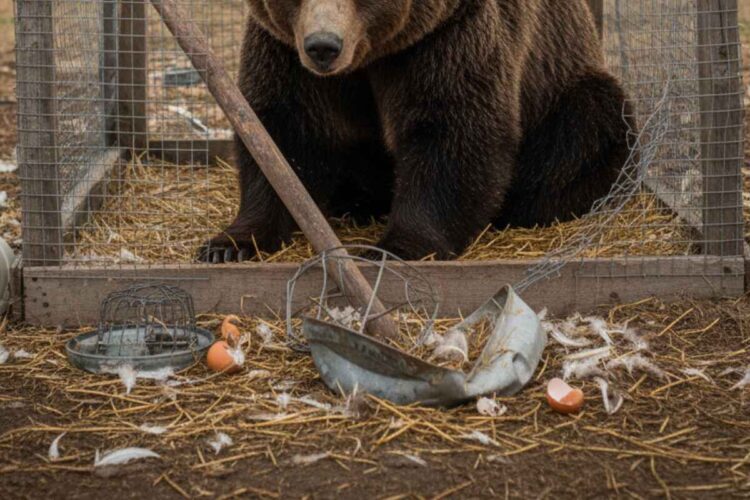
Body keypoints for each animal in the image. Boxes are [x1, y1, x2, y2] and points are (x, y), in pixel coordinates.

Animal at [199, 0, 634, 262]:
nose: (323, 46)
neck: (372, 55)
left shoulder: (446, 37)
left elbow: (453, 130)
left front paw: (395, 247)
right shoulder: (285, 51)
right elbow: (282, 134)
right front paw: (229, 244)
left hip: (564, 90)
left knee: (588, 125)